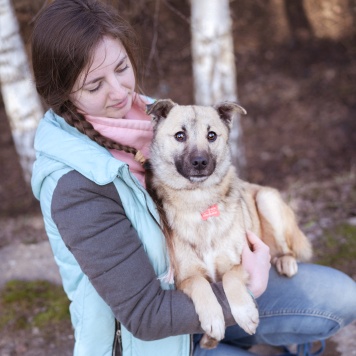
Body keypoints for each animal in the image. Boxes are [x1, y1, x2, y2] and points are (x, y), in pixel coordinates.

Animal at [144, 98, 312, 350]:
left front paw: (244, 313)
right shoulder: (185, 278)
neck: (200, 203)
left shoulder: (243, 261)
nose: (200, 162)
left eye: (212, 135)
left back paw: (285, 261)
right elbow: (201, 285)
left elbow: (231, 277)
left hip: (266, 199)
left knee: (285, 248)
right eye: (180, 136)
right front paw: (213, 322)